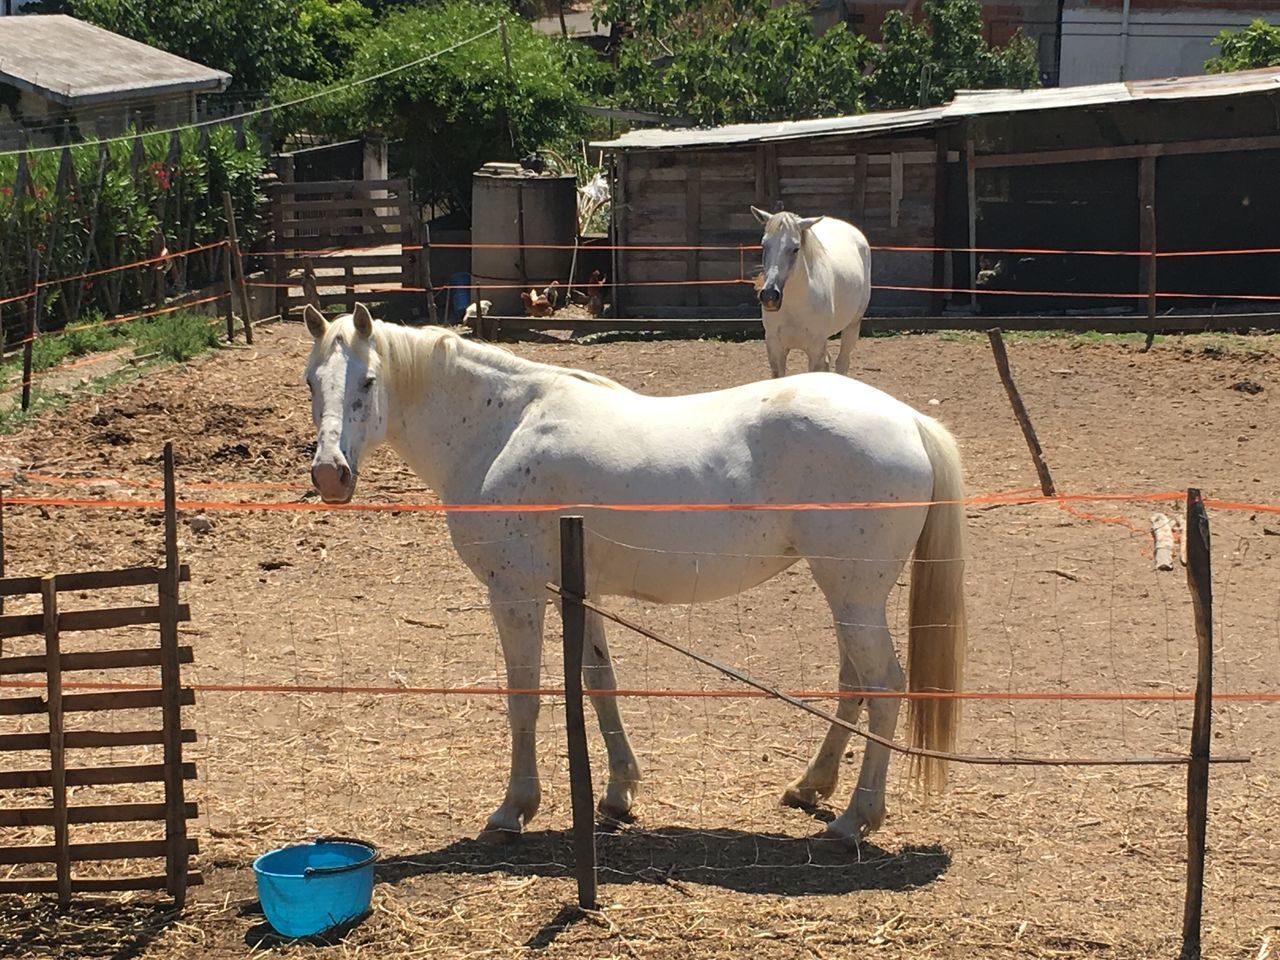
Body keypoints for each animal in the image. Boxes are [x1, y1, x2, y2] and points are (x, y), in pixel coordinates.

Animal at [304, 304, 962, 844]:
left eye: (367, 382)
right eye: (312, 382)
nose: (331, 474)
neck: (499, 427)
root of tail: (907, 420)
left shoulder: (516, 595)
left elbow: (525, 699)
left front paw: (515, 809)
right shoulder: (578, 591)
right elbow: (600, 683)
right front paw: (619, 793)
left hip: (853, 596)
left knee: (884, 687)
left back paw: (855, 820)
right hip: (848, 596)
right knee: (856, 683)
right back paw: (812, 787)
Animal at [747, 207, 870, 378]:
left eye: (795, 248)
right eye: (764, 245)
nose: (769, 296)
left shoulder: (815, 349)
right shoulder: (775, 348)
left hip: (852, 325)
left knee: (842, 362)